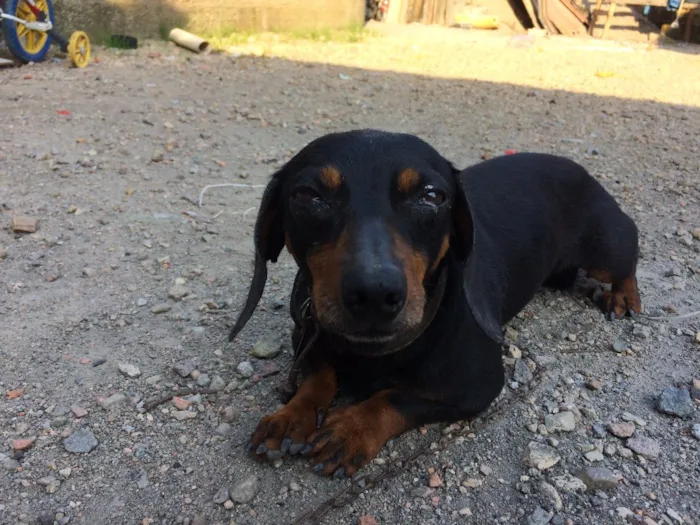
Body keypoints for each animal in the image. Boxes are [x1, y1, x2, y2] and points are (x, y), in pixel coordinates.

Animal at [228, 129, 640, 476]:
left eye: (432, 196)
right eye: (307, 195)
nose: (374, 294)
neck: (371, 350)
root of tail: (574, 165)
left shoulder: (477, 387)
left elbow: (395, 398)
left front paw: (350, 428)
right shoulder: (308, 334)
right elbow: (318, 373)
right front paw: (292, 415)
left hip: (605, 249)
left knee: (629, 251)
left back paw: (624, 295)